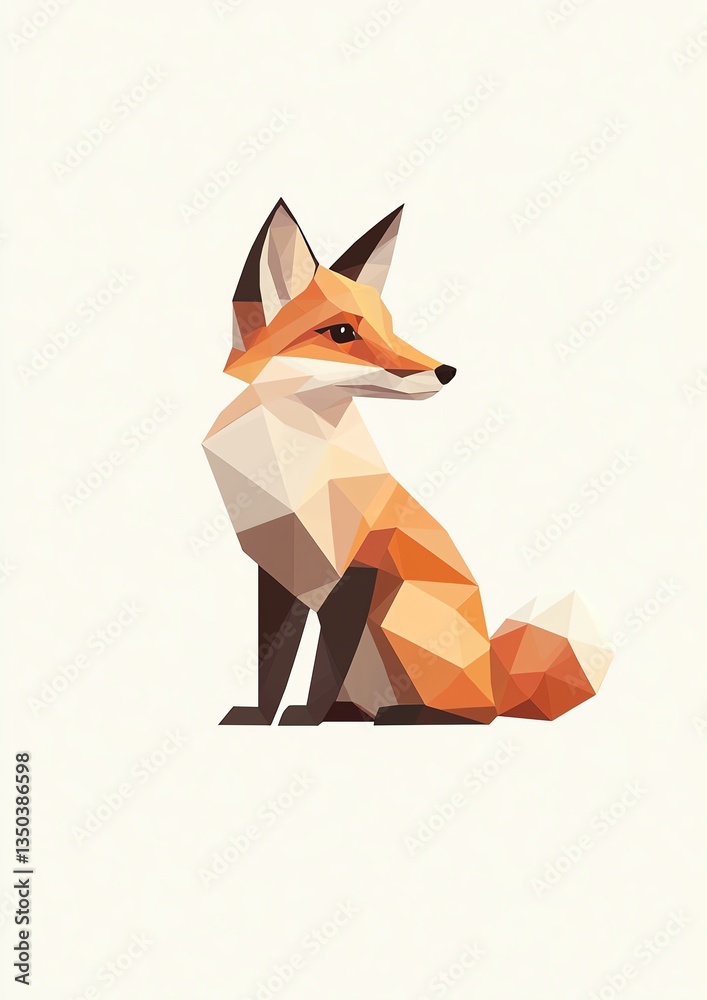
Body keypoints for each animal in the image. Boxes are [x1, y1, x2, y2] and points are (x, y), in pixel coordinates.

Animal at [203, 200, 612, 725]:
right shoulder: (278, 575)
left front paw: (303, 719)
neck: (289, 467)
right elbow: (271, 665)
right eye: (342, 332)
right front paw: (258, 720)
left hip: (395, 614)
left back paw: (404, 715)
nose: (447, 371)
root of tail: (495, 679)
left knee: (470, 714)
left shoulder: (356, 571)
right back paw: (353, 714)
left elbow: (321, 667)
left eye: (390, 326)